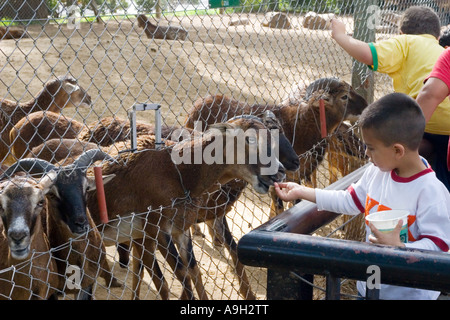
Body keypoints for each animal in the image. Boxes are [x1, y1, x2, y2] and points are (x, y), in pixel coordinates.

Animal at [85, 117, 284, 300]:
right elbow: (180, 276)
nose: (279, 171)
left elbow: (193, 271)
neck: (177, 172)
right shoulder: (158, 230)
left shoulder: (180, 230)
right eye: (250, 139)